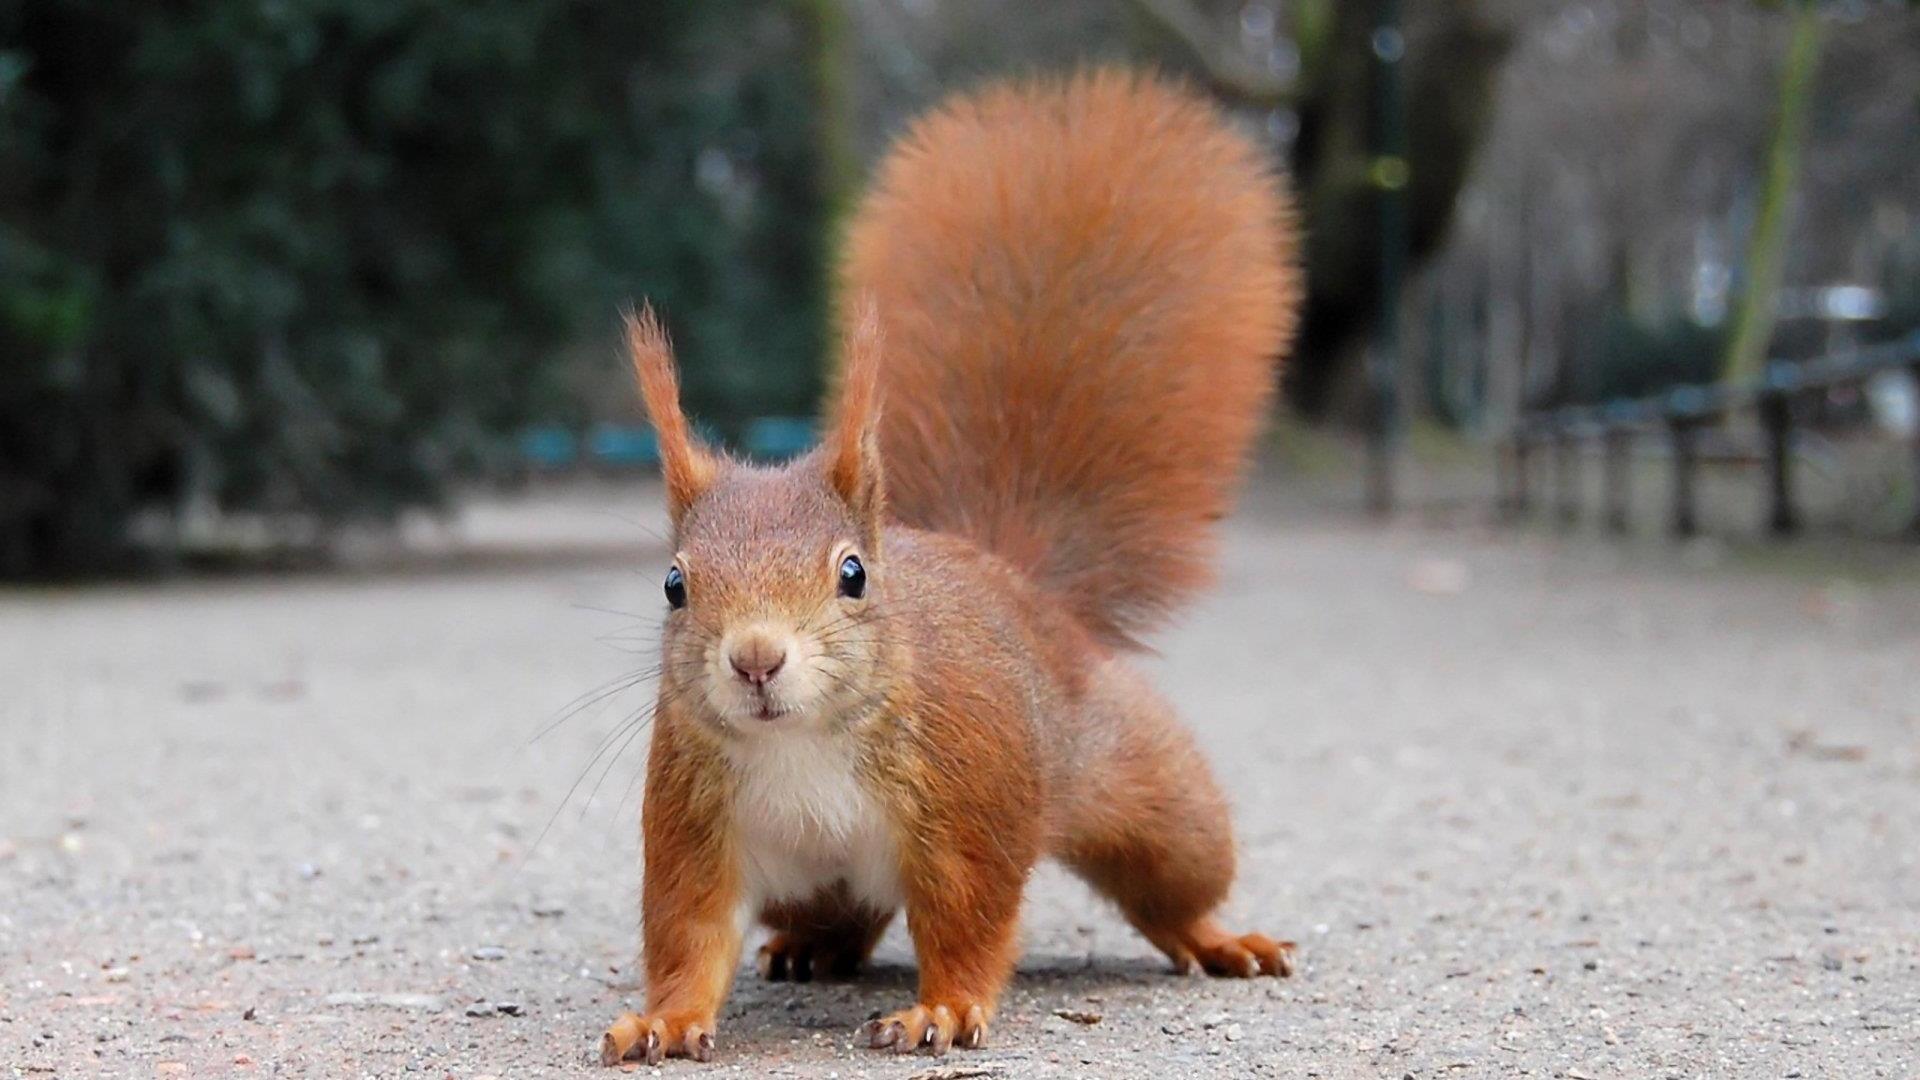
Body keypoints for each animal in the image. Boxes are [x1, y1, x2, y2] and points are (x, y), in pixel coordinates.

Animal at [600, 69, 1302, 1066]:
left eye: (854, 575)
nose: (756, 659)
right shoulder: (696, 825)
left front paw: (941, 1008)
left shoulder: (969, 804)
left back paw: (1217, 938)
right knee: (844, 913)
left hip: (1151, 793)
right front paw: (663, 1018)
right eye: (673, 585)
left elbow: (967, 919)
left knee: (1174, 882)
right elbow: (688, 935)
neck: (800, 743)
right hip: (810, 880)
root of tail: (1016, 579)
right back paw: (811, 948)